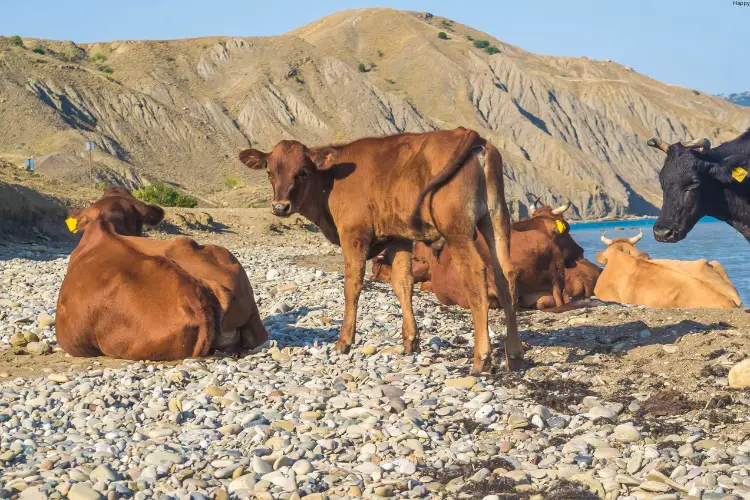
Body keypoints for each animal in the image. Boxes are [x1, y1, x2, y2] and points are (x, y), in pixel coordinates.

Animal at [241, 127, 524, 374]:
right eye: (269, 172)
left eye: (302, 172)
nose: (280, 207)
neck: (330, 181)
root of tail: (468, 134)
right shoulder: (399, 238)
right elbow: (403, 283)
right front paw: (410, 341)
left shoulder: (354, 234)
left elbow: (352, 285)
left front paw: (344, 342)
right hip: (496, 219)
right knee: (505, 274)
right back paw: (514, 354)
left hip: (458, 231)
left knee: (477, 276)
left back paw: (482, 359)